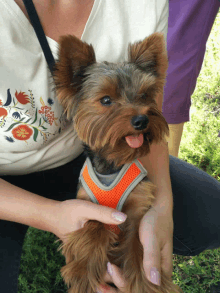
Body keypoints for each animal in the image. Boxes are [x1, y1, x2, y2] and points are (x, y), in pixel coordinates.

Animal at [53, 32, 182, 292]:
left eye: (144, 95)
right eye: (105, 100)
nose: (142, 120)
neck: (112, 165)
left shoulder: (137, 210)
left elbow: (138, 246)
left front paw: (148, 282)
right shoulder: (88, 204)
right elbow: (94, 227)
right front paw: (82, 271)